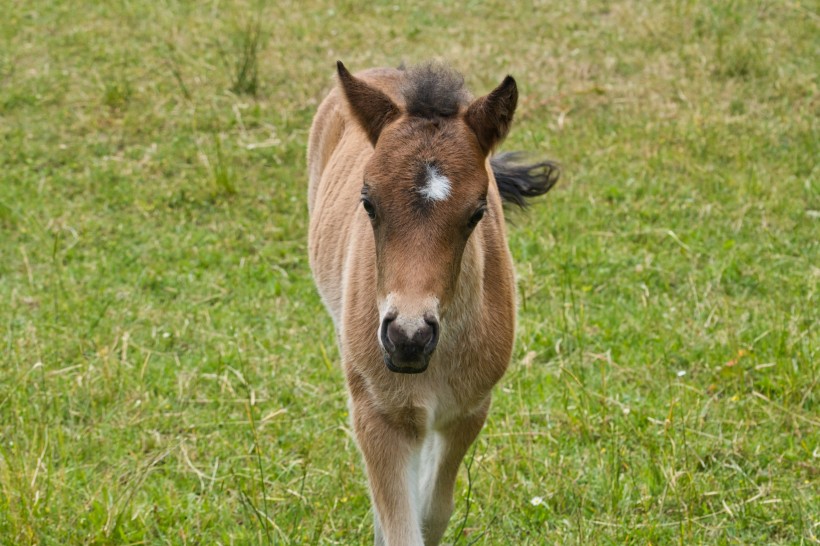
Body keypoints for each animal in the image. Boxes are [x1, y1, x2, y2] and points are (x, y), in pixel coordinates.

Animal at [308, 61, 556, 540]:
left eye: (478, 212)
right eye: (368, 203)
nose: (409, 336)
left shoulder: (469, 411)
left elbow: (431, 513)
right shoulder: (378, 413)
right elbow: (399, 524)